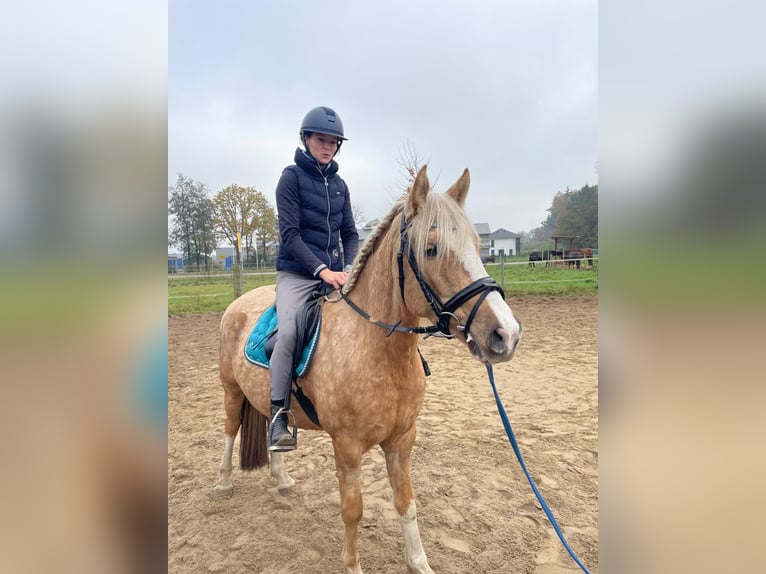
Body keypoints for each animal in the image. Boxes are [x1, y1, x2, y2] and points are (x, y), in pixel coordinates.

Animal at [219, 166, 524, 574]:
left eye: (478, 245)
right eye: (431, 249)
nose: (506, 333)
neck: (378, 350)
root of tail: (239, 302)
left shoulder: (402, 440)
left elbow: (406, 503)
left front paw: (419, 562)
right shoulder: (347, 447)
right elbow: (353, 511)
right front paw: (352, 565)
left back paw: (282, 478)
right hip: (231, 391)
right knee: (230, 430)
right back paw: (223, 484)